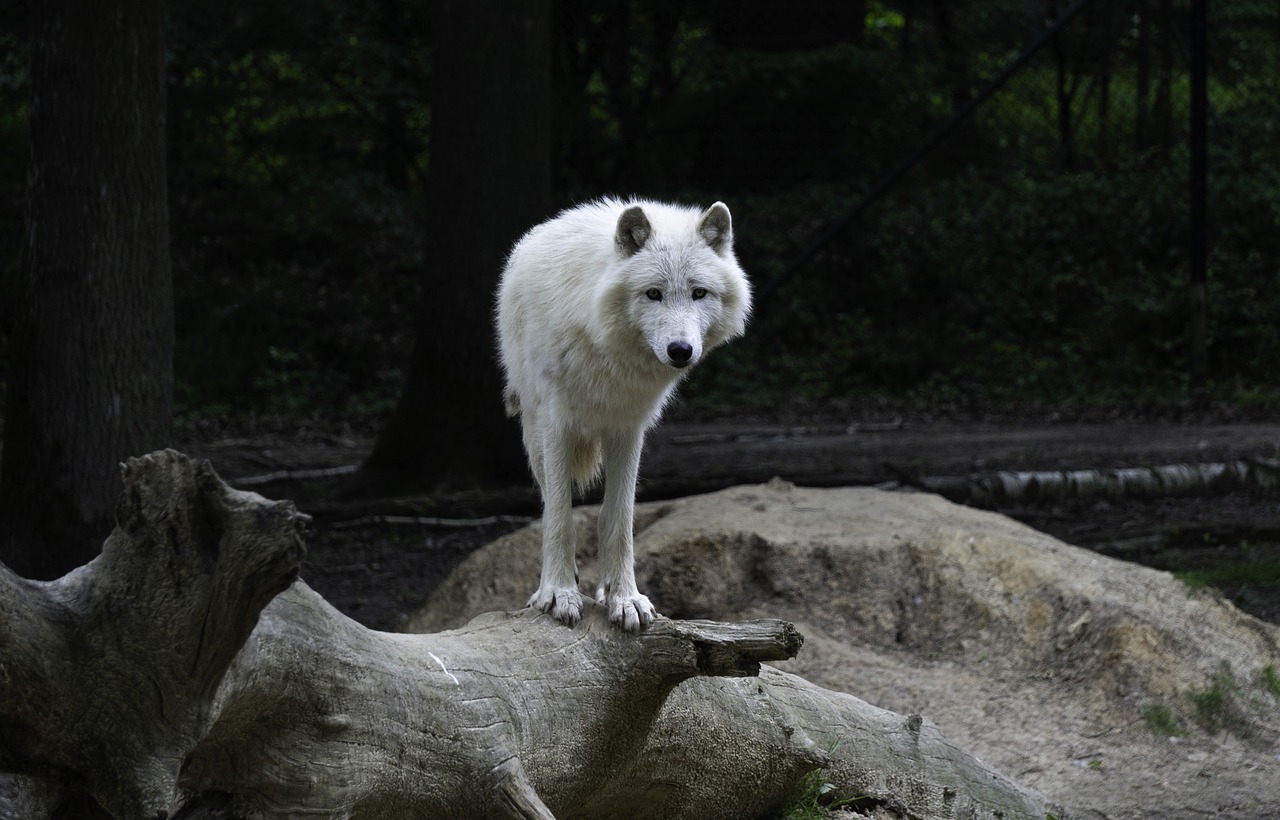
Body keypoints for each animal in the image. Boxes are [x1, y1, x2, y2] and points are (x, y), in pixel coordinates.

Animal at [491, 194, 747, 629]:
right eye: (653, 293)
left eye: (699, 293)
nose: (681, 350)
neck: (607, 349)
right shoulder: (557, 425)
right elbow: (560, 516)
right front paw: (558, 593)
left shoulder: (628, 429)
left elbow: (620, 521)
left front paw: (624, 598)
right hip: (534, 430)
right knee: (548, 499)